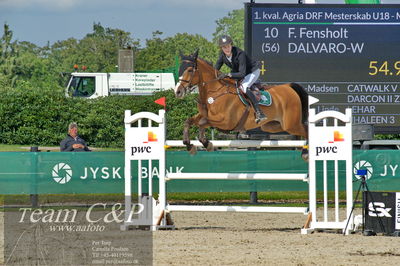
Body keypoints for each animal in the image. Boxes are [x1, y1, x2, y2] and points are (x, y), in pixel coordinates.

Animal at [173, 49, 308, 158]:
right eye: (180, 69)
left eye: (190, 70)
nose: (177, 92)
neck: (215, 92)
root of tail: (289, 87)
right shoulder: (205, 116)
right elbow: (188, 122)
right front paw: (189, 146)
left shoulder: (226, 122)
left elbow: (202, 123)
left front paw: (207, 144)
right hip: (274, 125)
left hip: (291, 124)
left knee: (306, 130)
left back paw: (306, 153)